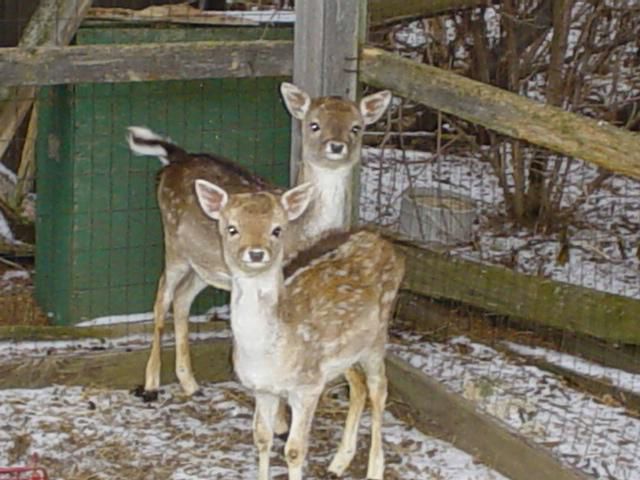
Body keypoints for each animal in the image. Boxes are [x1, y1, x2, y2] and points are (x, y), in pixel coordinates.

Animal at [126, 83, 392, 404]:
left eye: (357, 126)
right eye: (314, 124)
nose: (337, 146)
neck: (303, 233)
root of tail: (177, 158)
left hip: (205, 266)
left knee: (182, 299)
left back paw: (190, 383)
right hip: (173, 244)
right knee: (162, 297)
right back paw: (151, 385)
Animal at [192, 179, 405, 480]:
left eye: (277, 229)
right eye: (232, 228)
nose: (256, 252)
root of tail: (386, 244)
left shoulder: (307, 387)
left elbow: (294, 450)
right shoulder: (262, 388)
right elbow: (261, 437)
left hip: (377, 338)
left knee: (379, 389)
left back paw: (374, 470)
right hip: (345, 354)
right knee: (358, 386)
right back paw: (339, 462)